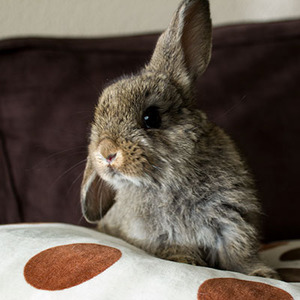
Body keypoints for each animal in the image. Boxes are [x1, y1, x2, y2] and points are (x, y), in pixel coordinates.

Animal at [80, 0, 278, 278]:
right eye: (97, 121)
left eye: (151, 117)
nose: (106, 152)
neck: (167, 181)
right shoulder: (161, 237)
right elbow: (177, 252)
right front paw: (189, 263)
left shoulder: (232, 221)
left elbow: (239, 254)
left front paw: (262, 274)